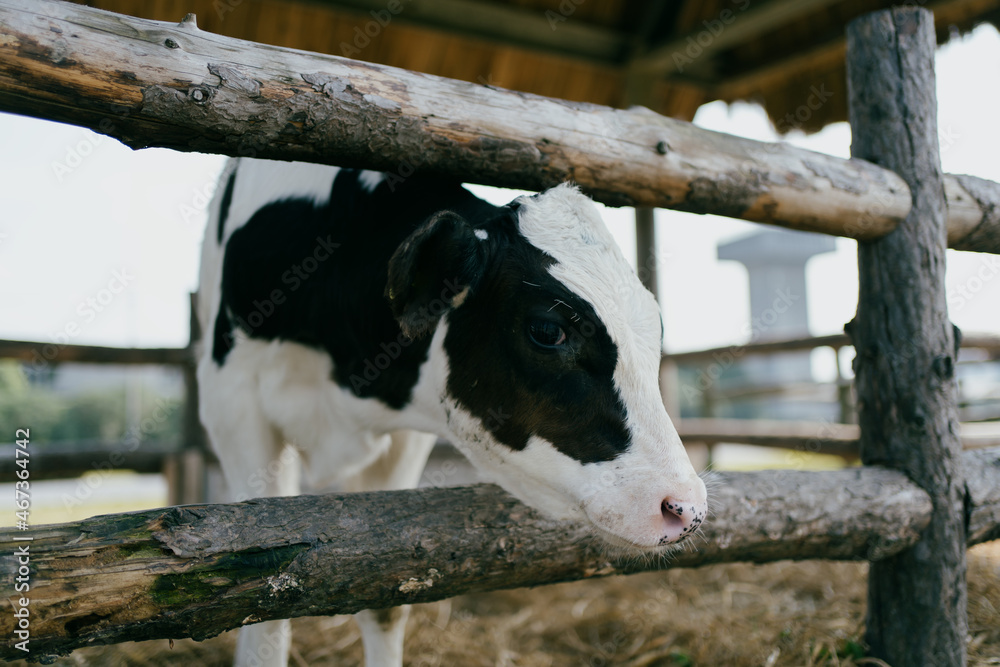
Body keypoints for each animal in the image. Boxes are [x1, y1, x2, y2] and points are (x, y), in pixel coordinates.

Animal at [199, 158, 708, 667]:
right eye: (548, 330)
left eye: (656, 328)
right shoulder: (233, 406)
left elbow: (383, 603)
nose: (685, 507)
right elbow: (263, 607)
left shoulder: (403, 444)